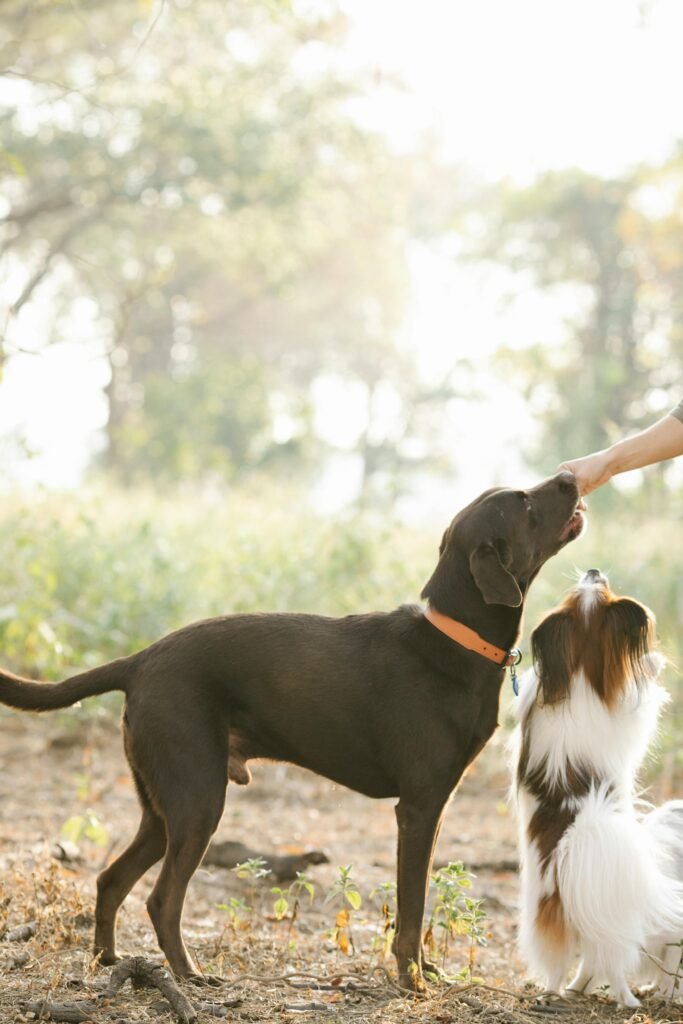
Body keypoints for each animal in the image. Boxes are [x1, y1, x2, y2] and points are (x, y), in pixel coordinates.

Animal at [0, 473, 581, 991]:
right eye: (526, 502)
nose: (570, 478)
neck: (454, 638)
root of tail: (139, 661)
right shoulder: (418, 809)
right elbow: (412, 910)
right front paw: (411, 979)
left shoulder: (434, 807)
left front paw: (425, 970)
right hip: (198, 801)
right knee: (161, 899)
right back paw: (188, 974)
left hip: (162, 807)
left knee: (110, 879)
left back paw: (108, 961)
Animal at [511, 569, 683, 1007]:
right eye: (600, 588)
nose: (593, 572)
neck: (580, 673)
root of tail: (577, 837)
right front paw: (654, 663)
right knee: (617, 961)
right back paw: (632, 999)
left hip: (548, 917)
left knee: (566, 962)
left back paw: (557, 991)